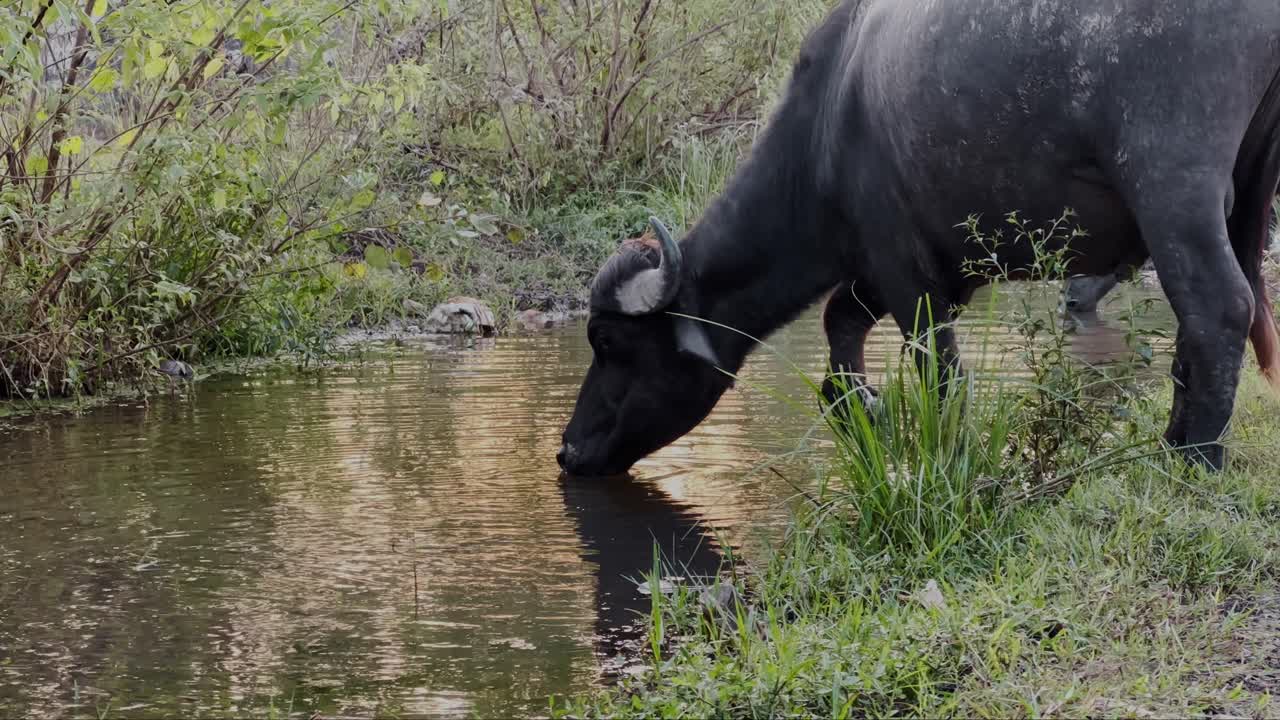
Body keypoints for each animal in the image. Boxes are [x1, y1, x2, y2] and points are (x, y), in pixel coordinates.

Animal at [559, 0, 1280, 477]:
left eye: (608, 341)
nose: (567, 450)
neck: (825, 127)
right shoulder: (901, 271)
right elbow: (839, 320)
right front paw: (856, 402)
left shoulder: (906, 272)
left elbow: (940, 374)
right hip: (1245, 190)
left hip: (1172, 188)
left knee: (1218, 307)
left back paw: (1193, 455)